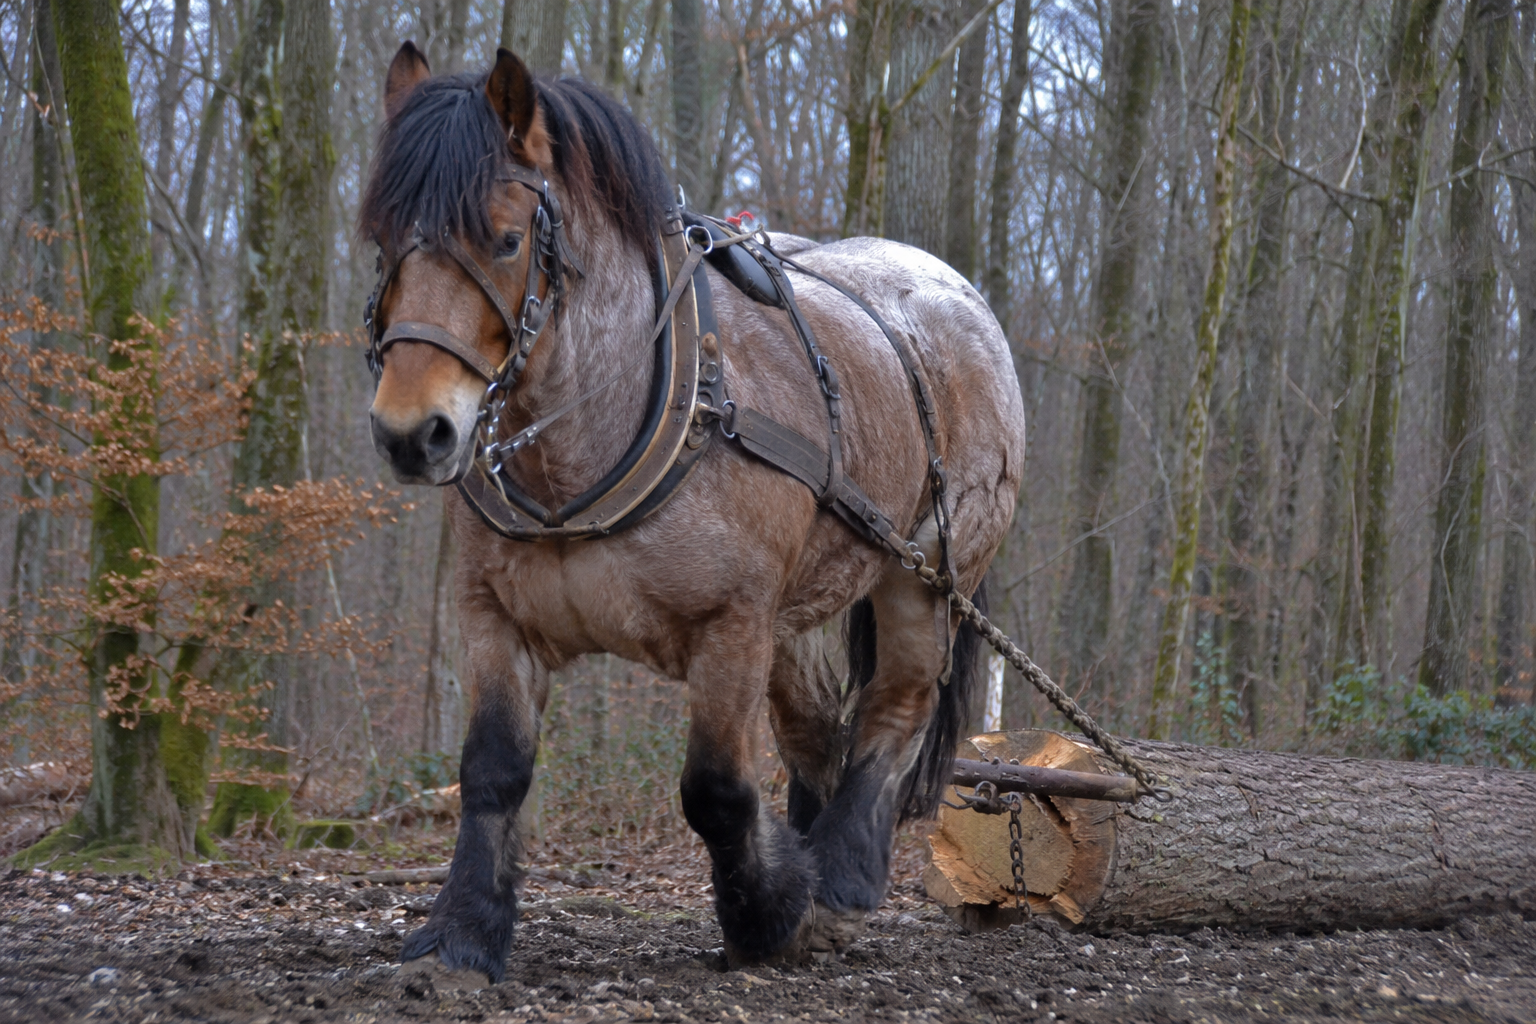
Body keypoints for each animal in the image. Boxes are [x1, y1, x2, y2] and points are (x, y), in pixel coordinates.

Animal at [361, 43, 1026, 983]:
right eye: (383, 241)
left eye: (504, 237)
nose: (412, 433)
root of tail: (959, 297)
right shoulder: (493, 616)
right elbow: (491, 771)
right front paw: (462, 934)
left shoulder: (731, 624)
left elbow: (714, 790)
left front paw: (769, 917)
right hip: (799, 613)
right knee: (817, 731)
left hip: (929, 571)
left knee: (895, 704)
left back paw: (843, 877)